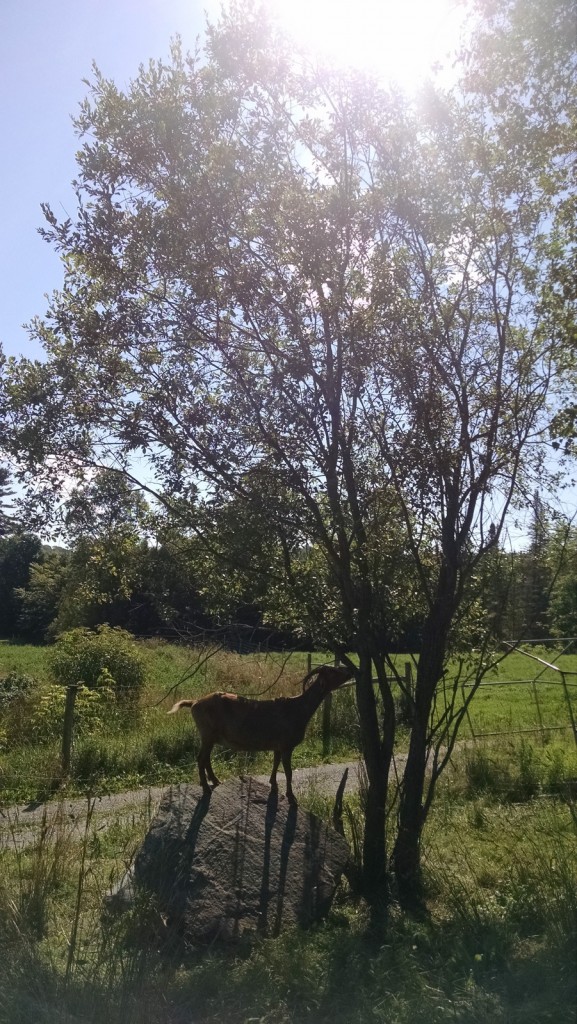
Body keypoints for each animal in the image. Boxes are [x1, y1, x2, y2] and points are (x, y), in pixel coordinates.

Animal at [167, 663, 352, 806]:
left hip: (210, 737)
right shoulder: (287, 745)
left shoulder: (278, 745)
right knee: (201, 758)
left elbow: (275, 764)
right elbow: (289, 772)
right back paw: (206, 788)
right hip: (207, 732)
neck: (299, 710)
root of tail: (194, 703)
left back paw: (216, 781)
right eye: (333, 671)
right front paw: (292, 798)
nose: (349, 670)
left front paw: (274, 786)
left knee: (205, 758)